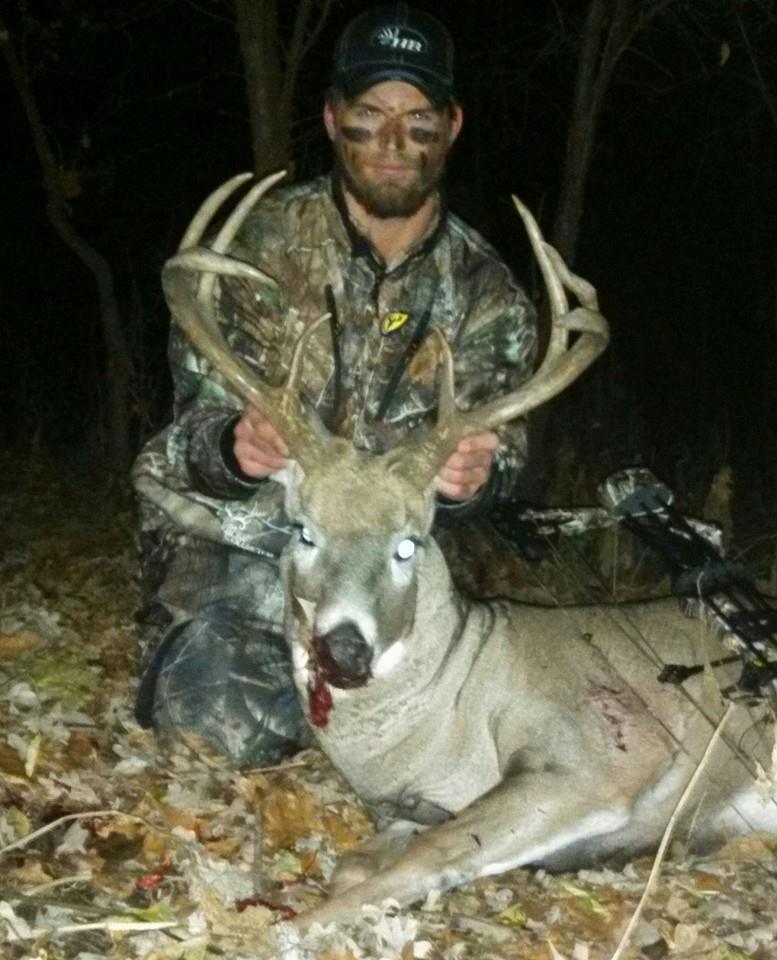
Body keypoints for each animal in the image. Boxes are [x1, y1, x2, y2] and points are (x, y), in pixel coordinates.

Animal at [161, 171, 777, 932]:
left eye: (408, 542)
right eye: (305, 530)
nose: (345, 649)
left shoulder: (603, 753)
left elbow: (434, 853)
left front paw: (291, 930)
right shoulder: (408, 806)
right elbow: (360, 861)